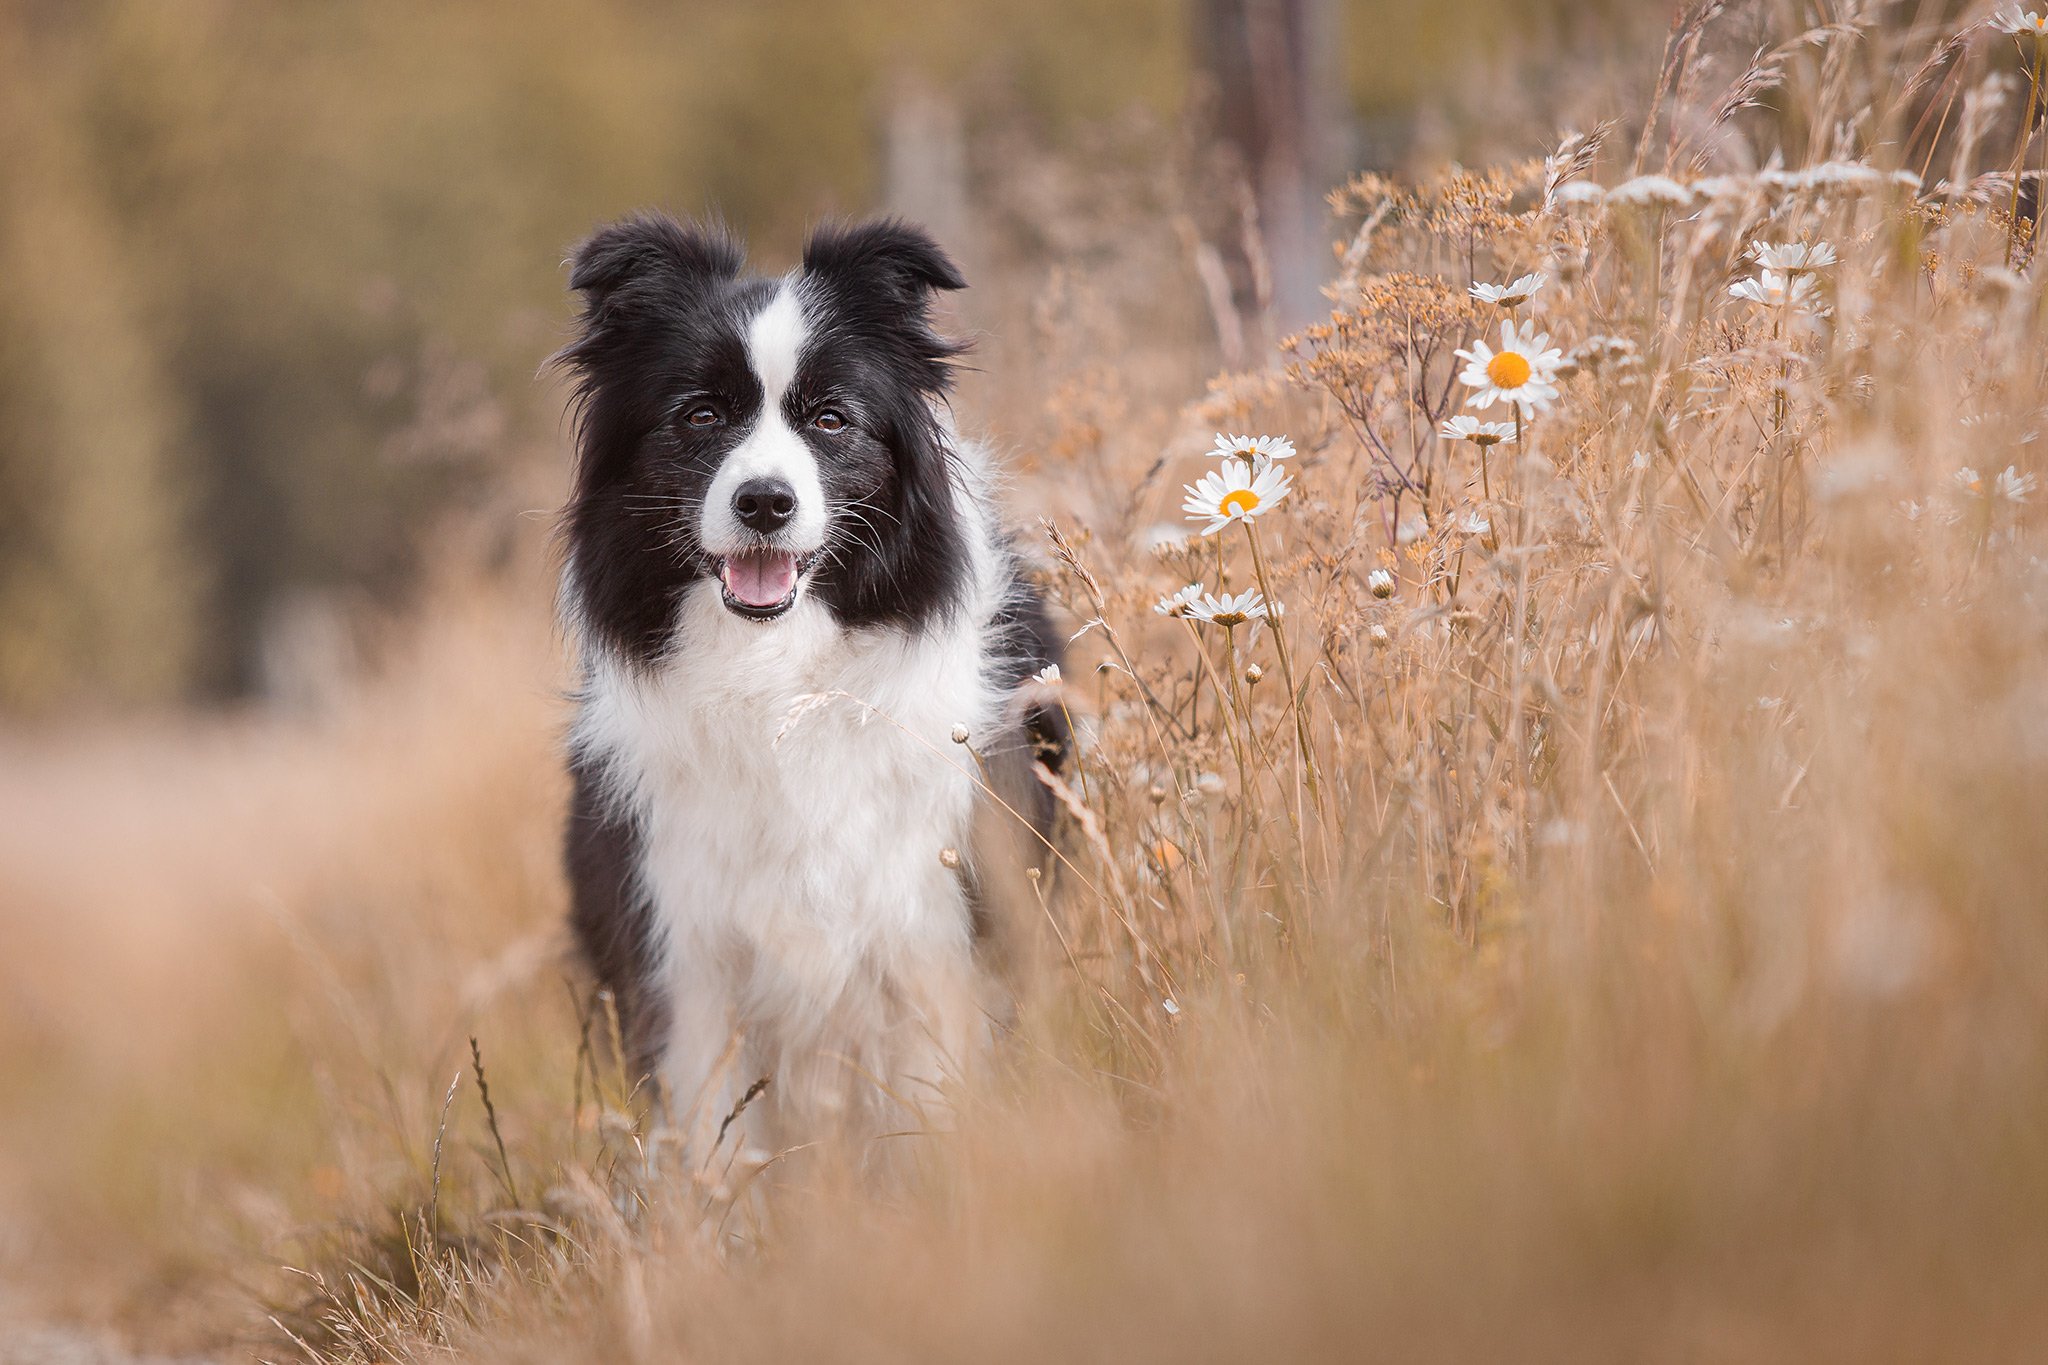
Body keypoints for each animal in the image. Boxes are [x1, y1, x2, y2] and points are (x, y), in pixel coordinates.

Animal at [552, 213, 1064, 1162]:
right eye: (701, 414)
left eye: (832, 418)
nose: (764, 502)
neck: (778, 679)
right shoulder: (682, 950)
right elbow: (715, 1142)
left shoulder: (931, 928)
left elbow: (936, 1107)